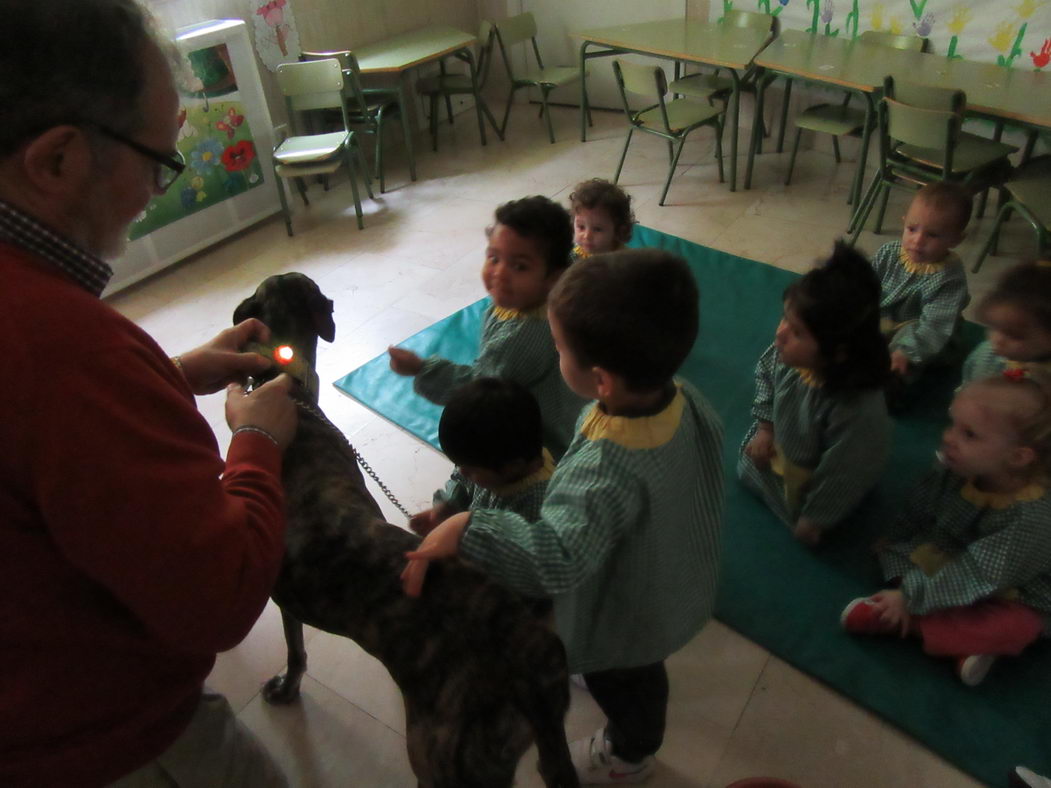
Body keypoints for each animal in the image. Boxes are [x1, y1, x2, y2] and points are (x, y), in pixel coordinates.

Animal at [234, 273, 580, 788]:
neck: (287, 389)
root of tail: (527, 671)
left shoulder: (285, 601)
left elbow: (295, 649)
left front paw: (287, 686)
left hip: (441, 760)